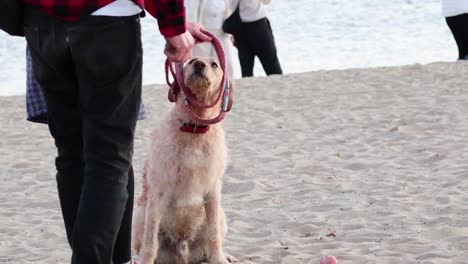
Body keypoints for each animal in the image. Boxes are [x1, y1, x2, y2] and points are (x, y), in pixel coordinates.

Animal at [131, 56, 234, 264]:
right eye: (192, 60)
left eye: (214, 64)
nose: (199, 64)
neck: (194, 127)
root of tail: (182, 248)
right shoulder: (157, 191)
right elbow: (149, 241)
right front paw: (146, 259)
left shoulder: (213, 190)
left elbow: (214, 235)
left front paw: (219, 259)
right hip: (139, 215)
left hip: (220, 215)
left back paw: (224, 255)